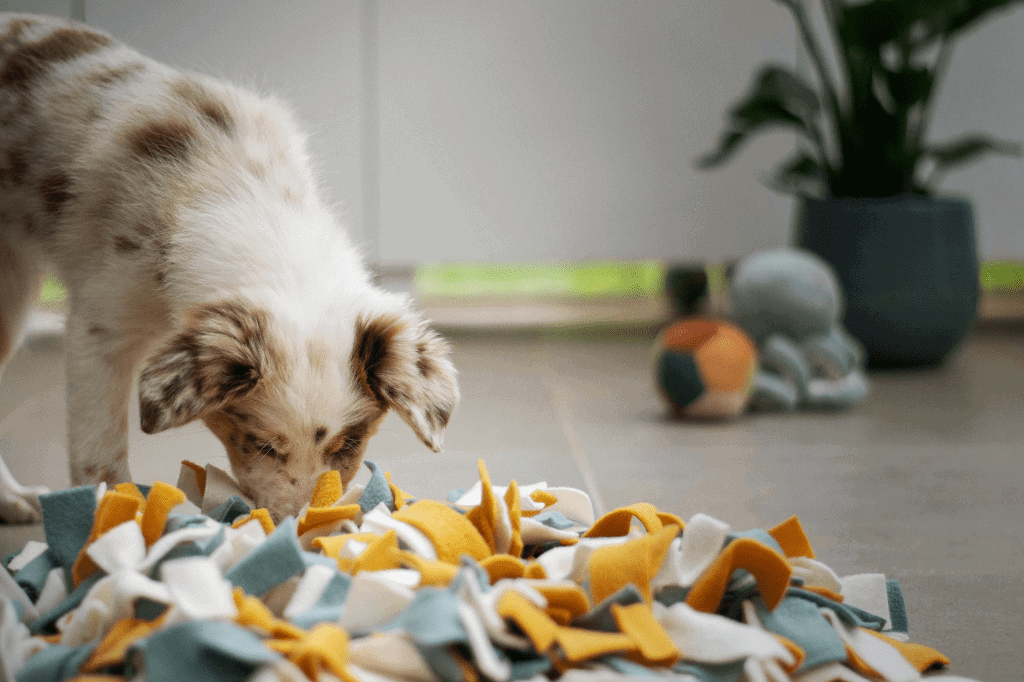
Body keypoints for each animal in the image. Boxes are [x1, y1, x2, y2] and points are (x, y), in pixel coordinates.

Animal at [0, 11, 458, 520]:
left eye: (349, 444)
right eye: (259, 442)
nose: (298, 524)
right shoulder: (102, 326)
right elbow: (99, 453)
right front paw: (119, 519)